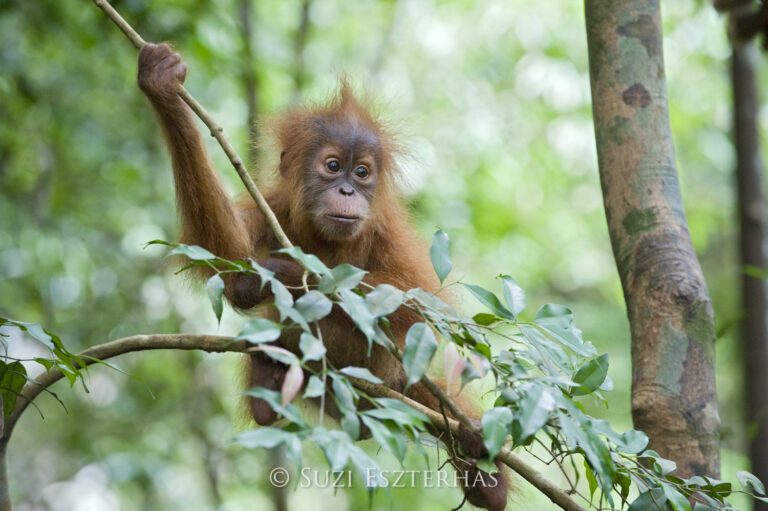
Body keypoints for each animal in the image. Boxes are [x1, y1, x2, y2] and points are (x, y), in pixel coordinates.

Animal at [137, 42, 508, 511]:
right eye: (333, 166)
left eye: (362, 172)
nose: (348, 190)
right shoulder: (272, 208)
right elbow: (226, 256)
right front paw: (163, 86)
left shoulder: (387, 229)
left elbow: (418, 305)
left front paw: (284, 272)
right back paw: (271, 375)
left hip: (390, 382)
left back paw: (481, 464)